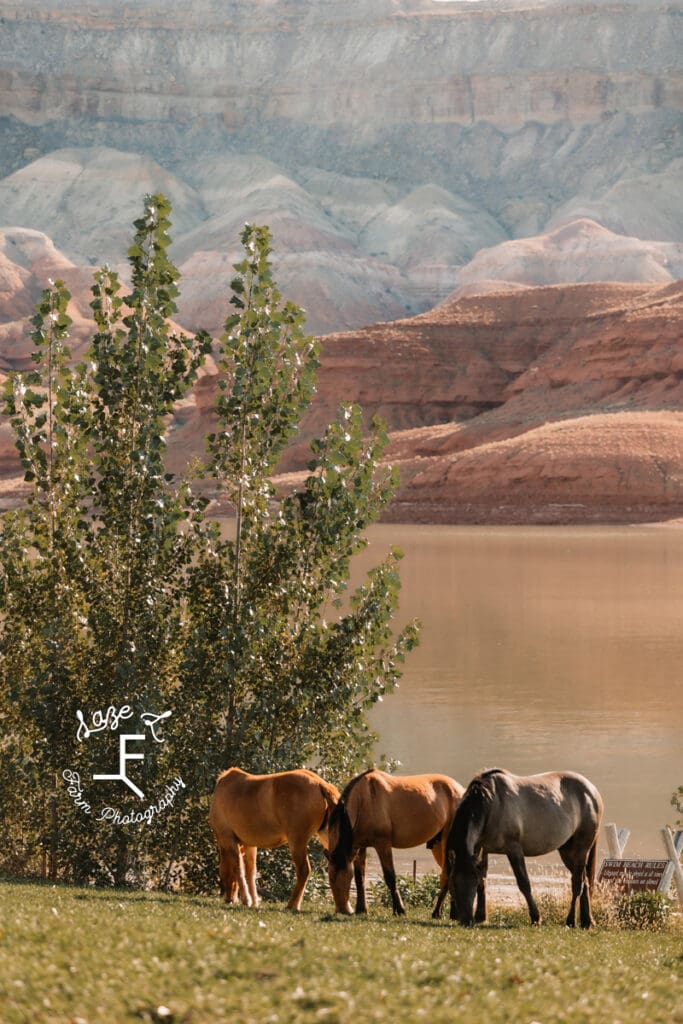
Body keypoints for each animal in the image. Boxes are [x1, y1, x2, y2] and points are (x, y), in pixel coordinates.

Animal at [205, 770, 339, 913]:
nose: (229, 899)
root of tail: (320, 783)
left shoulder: (228, 839)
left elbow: (238, 868)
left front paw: (247, 900)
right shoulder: (249, 845)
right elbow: (250, 872)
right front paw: (254, 901)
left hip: (297, 841)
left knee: (304, 871)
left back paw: (292, 904)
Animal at [325, 765, 464, 917]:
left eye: (344, 876)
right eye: (330, 878)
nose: (342, 910)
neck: (364, 800)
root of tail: (461, 790)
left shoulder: (383, 844)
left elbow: (390, 877)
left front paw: (399, 909)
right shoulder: (359, 846)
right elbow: (360, 877)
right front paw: (361, 909)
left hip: (446, 841)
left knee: (447, 874)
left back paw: (437, 912)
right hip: (438, 846)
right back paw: (454, 913)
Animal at [448, 770, 602, 929]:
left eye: (472, 880)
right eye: (453, 882)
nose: (466, 920)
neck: (491, 804)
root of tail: (591, 790)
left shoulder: (514, 849)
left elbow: (524, 883)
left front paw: (536, 918)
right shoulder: (482, 848)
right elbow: (483, 879)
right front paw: (480, 916)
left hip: (581, 849)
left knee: (577, 883)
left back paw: (571, 920)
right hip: (566, 851)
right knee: (584, 880)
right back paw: (587, 921)